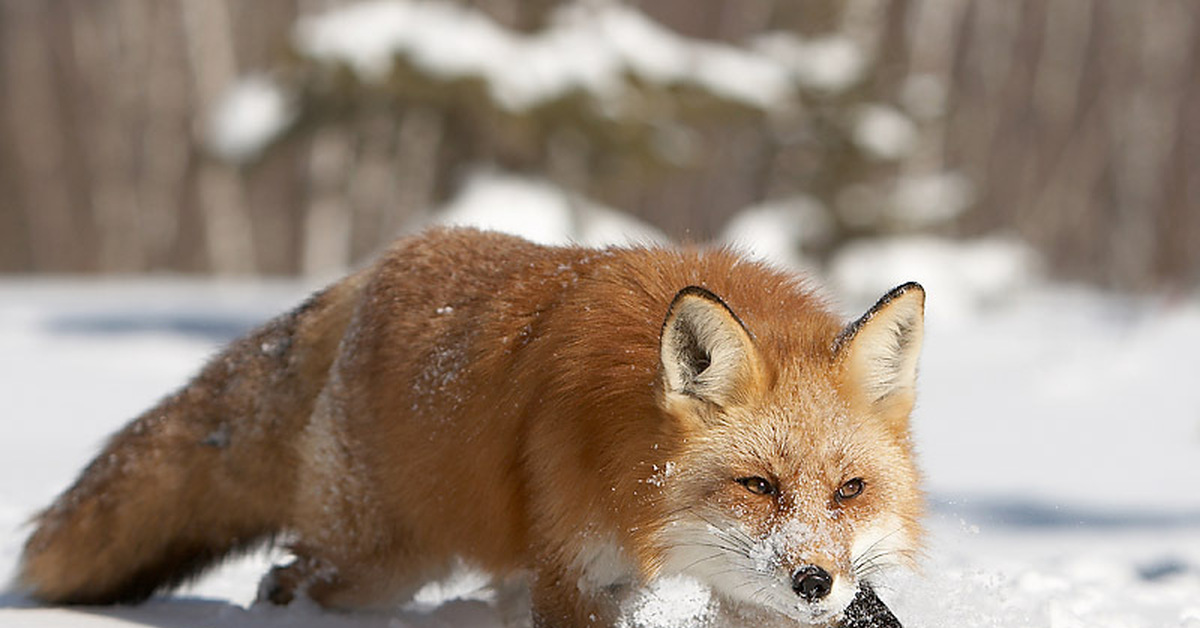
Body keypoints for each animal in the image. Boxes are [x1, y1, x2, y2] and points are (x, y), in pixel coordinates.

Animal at [18, 228, 921, 624]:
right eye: (757, 485)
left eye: (849, 490)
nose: (816, 582)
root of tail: (374, 270)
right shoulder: (580, 575)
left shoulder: (747, 595)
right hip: (378, 562)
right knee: (288, 581)